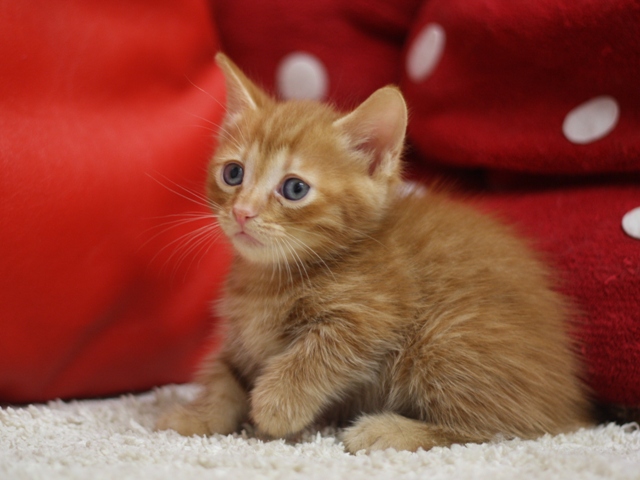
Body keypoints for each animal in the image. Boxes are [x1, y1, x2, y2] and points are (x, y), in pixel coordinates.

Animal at [158, 53, 592, 454]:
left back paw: (387, 430)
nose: (242, 212)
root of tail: (567, 401)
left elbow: (318, 355)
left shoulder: (371, 314)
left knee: (499, 429)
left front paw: (275, 405)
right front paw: (197, 414)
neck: (269, 280)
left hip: (446, 339)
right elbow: (222, 375)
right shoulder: (240, 340)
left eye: (294, 188)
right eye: (233, 173)